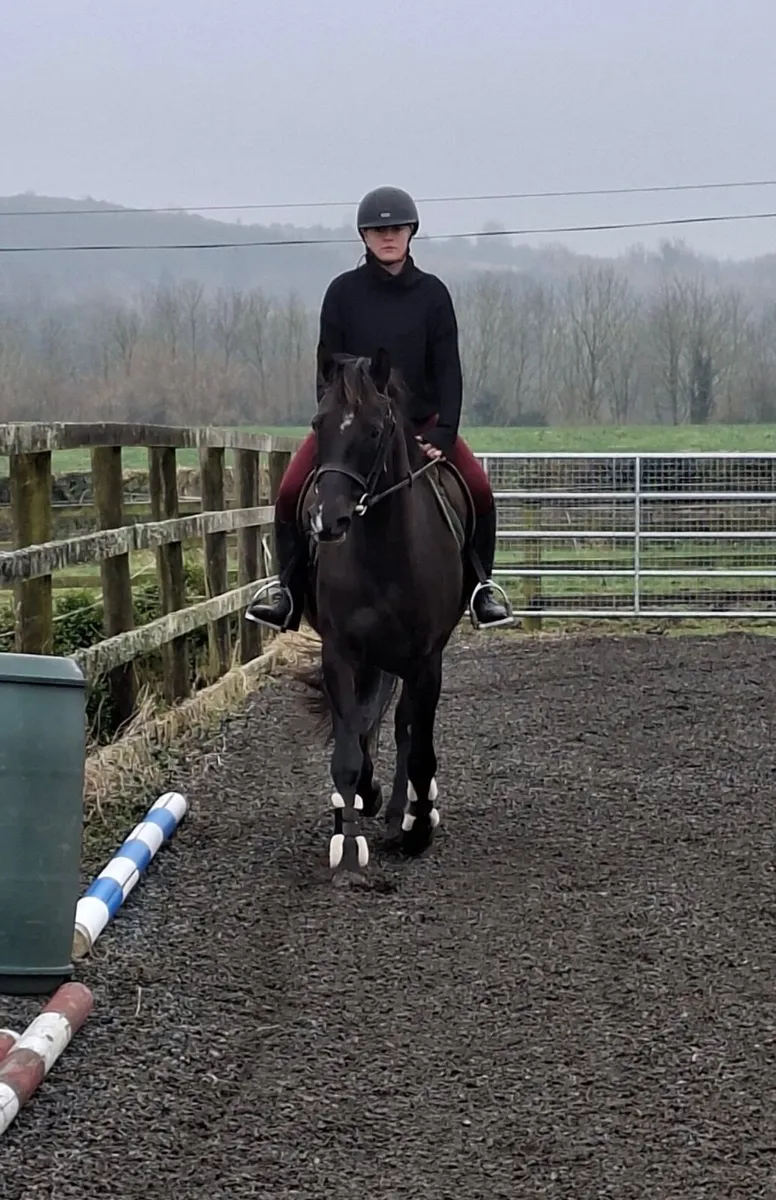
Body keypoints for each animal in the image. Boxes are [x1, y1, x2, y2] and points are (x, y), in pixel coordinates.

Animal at [285, 344, 487, 877]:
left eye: (375, 430)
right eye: (318, 423)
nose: (327, 521)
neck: (382, 554)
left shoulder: (426, 660)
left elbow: (416, 746)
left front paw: (415, 827)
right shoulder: (340, 653)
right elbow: (349, 746)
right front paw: (349, 840)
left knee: (401, 728)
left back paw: (404, 810)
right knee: (366, 724)